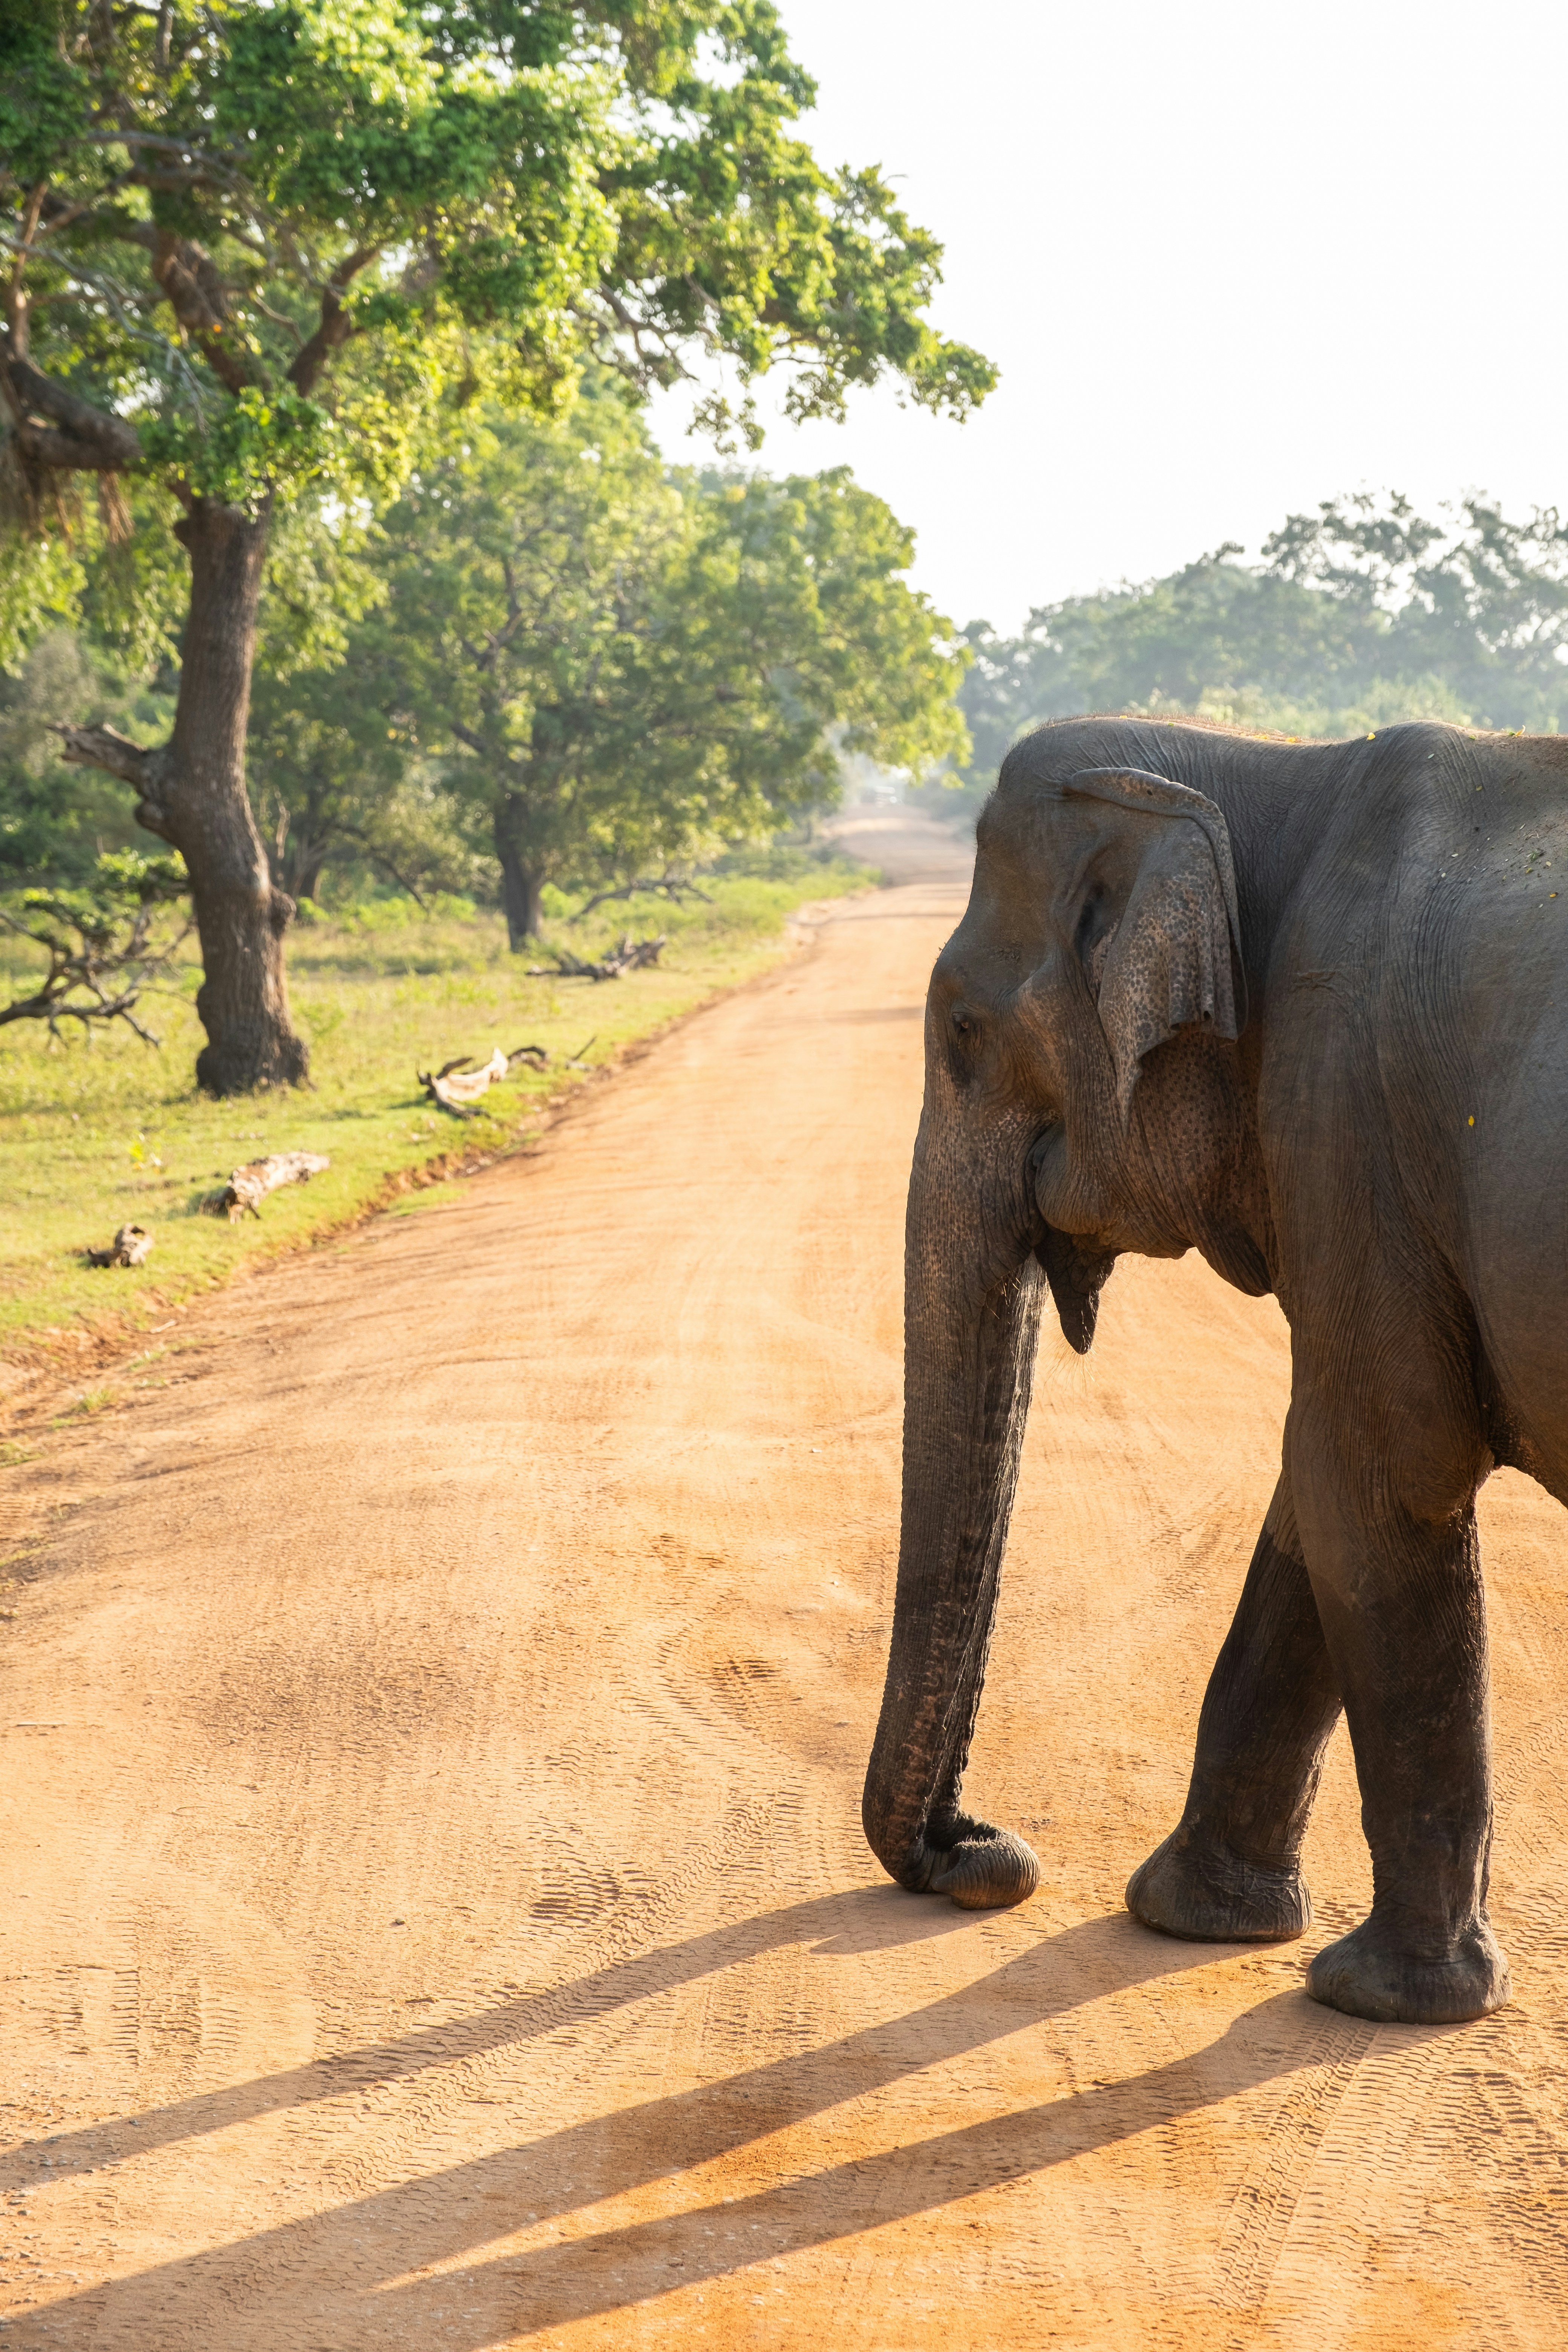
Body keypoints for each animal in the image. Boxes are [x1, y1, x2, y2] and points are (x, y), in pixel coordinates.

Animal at [862, 713, 1568, 2025]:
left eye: (962, 1033)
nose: (983, 1851)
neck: (1264, 769)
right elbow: (1319, 1494)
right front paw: (1190, 1919)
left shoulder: (1343, 1104)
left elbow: (1379, 1476)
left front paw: (1376, 1998)